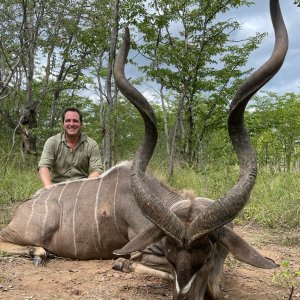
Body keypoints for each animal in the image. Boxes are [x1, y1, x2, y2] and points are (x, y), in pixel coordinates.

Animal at [0, 1, 288, 298]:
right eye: (172, 258)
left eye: (207, 256)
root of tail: (24, 208)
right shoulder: (144, 251)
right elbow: (134, 263)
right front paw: (121, 264)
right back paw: (38, 253)